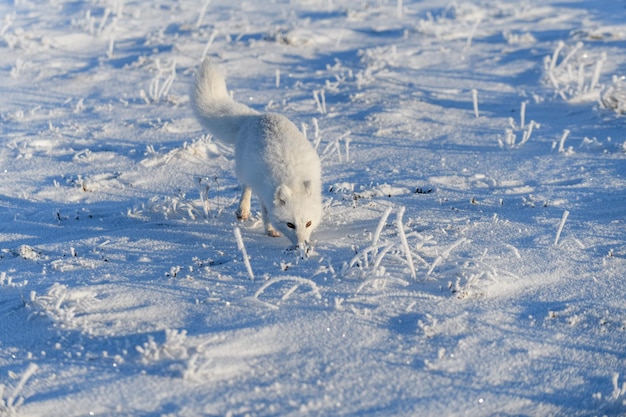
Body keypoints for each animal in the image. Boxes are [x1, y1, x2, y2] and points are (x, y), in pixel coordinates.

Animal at [191, 58, 322, 247]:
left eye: (308, 223)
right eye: (290, 224)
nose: (302, 245)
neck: (292, 178)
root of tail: (254, 117)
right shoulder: (264, 194)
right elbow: (267, 214)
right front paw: (271, 231)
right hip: (245, 170)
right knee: (246, 187)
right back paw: (243, 210)